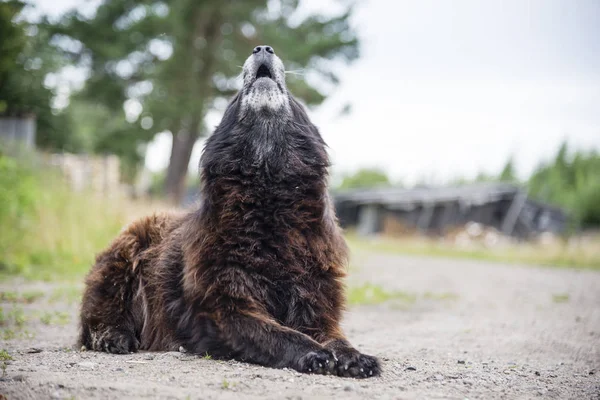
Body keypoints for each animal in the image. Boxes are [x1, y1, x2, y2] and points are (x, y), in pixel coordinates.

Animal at [79, 45, 380, 376]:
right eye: (235, 98)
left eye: (291, 98)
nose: (263, 47)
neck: (268, 201)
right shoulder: (226, 309)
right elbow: (278, 333)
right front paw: (315, 353)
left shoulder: (315, 304)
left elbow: (335, 336)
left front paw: (354, 356)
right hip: (123, 256)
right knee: (96, 316)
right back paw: (114, 336)